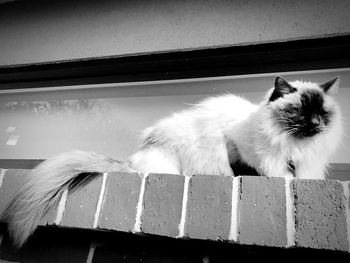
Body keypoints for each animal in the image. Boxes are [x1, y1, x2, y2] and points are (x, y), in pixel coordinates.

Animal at [2, 76, 342, 248]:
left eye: (322, 113)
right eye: (299, 111)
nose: (315, 124)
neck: (293, 148)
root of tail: (131, 162)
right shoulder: (234, 148)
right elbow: (248, 169)